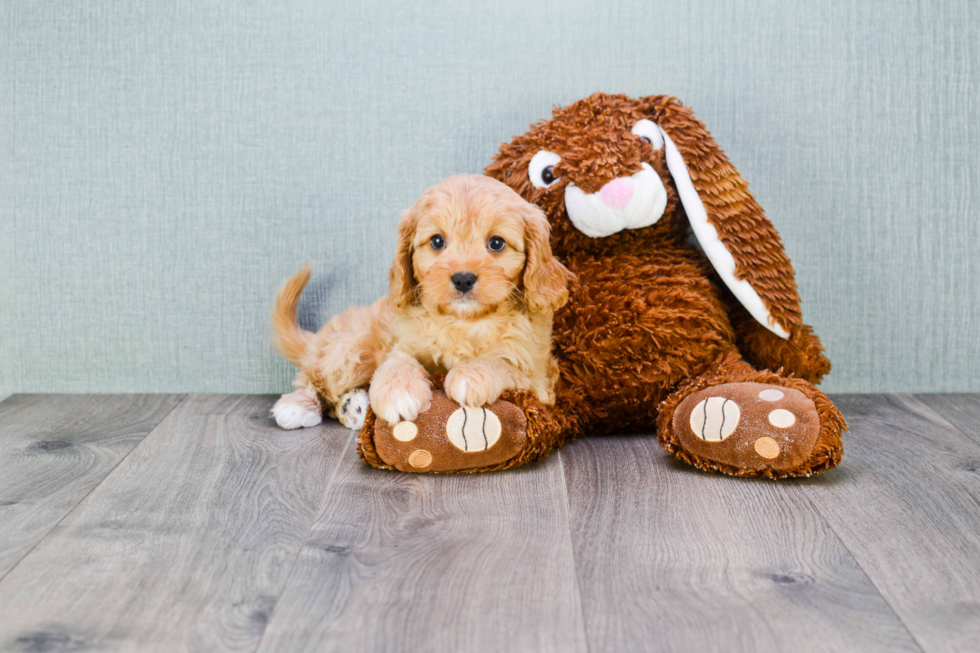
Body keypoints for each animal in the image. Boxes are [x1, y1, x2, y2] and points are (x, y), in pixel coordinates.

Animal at [272, 171, 572, 430]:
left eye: (496, 243)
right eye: (437, 241)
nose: (463, 279)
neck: (463, 321)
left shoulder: (540, 379)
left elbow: (504, 362)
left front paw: (470, 374)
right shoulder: (401, 342)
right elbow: (398, 362)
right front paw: (398, 392)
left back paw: (353, 407)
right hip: (351, 351)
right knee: (315, 378)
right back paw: (300, 405)